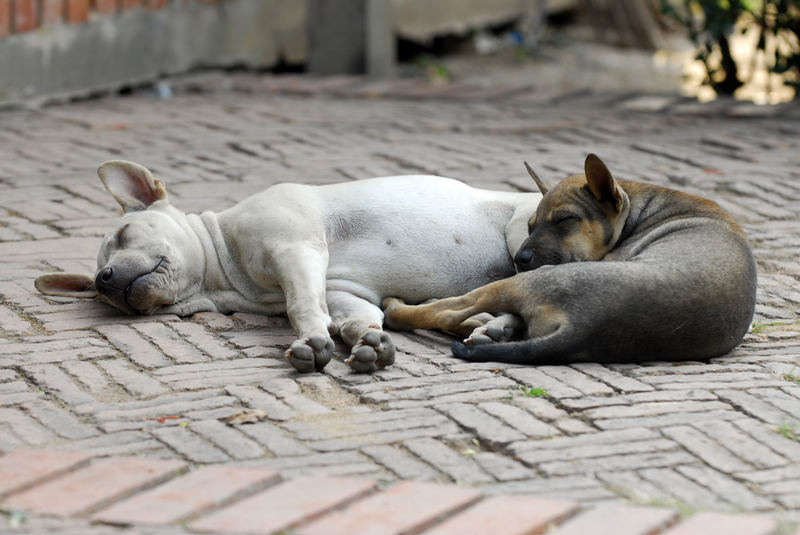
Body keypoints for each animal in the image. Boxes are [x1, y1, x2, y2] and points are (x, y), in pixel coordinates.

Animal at [384, 153, 760, 366]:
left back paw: (397, 307)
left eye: (564, 220)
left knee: (442, 310)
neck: (638, 210)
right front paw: (498, 328)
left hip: (528, 279)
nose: (519, 258)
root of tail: (585, 325)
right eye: (531, 225)